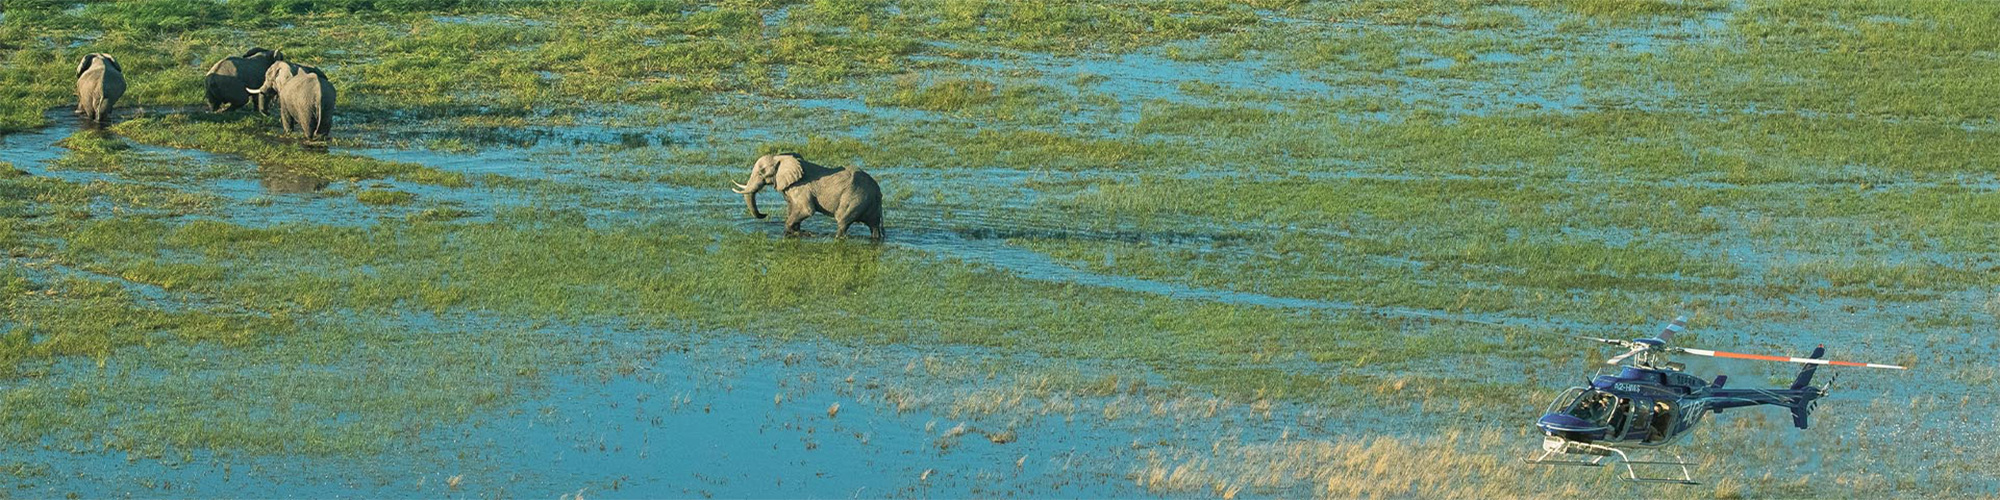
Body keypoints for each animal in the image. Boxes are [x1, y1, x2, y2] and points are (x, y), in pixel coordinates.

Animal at [732, 151, 880, 239]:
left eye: (761, 172)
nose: (765, 214)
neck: (782, 157)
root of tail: (877, 190)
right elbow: (793, 210)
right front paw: (797, 232)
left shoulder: (801, 188)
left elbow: (806, 210)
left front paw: (794, 232)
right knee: (874, 226)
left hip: (854, 199)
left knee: (843, 222)